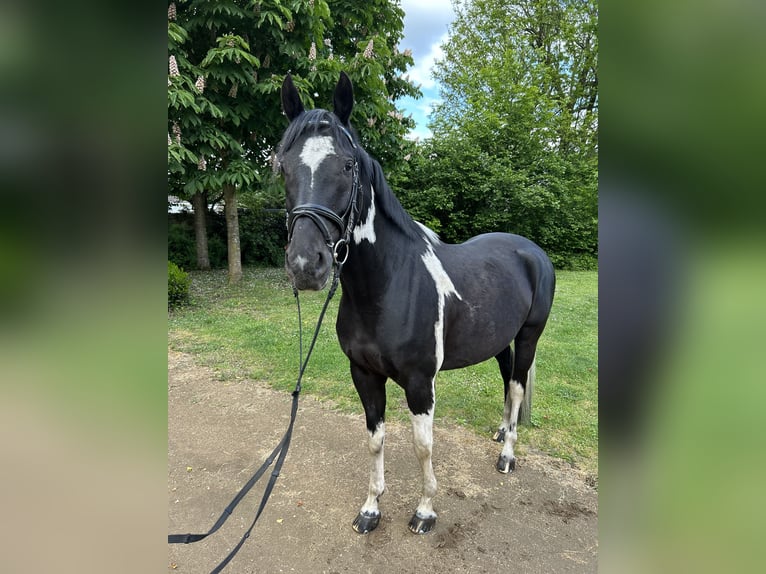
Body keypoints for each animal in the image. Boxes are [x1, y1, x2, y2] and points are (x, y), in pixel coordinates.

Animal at [277, 72, 556, 535]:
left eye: (348, 165)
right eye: (282, 166)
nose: (305, 264)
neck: (387, 287)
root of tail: (532, 251)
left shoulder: (420, 382)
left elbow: (423, 445)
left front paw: (425, 510)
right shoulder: (364, 375)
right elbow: (375, 440)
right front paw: (371, 509)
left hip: (529, 335)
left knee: (517, 387)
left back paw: (507, 456)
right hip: (500, 340)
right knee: (506, 380)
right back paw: (501, 434)